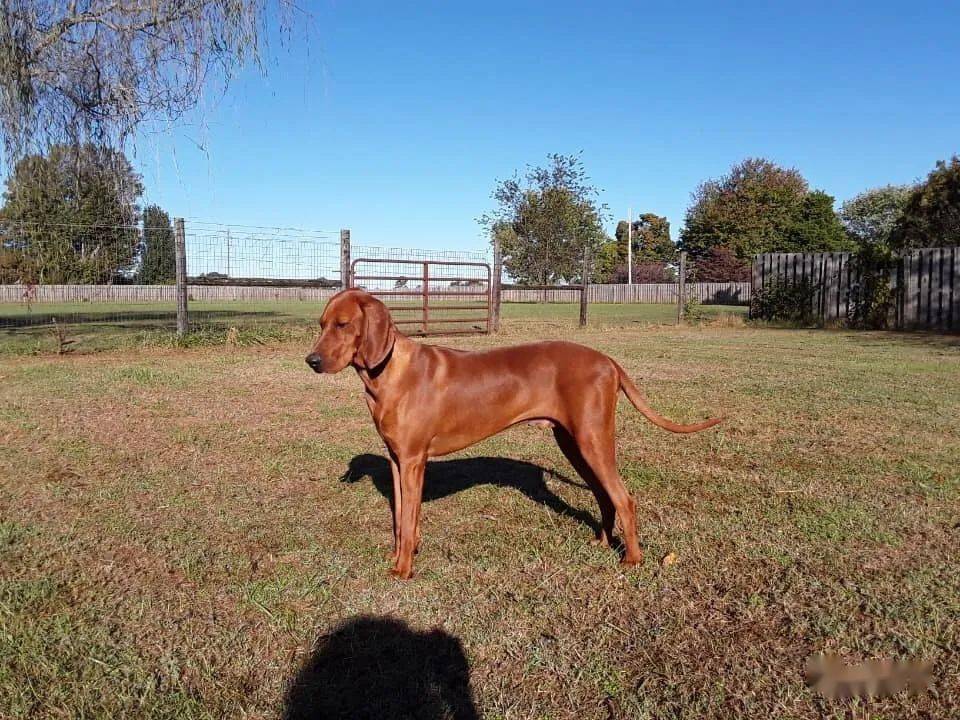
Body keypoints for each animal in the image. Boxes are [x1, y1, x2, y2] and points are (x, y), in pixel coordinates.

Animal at [308, 290, 720, 576]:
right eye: (321, 324)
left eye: (343, 325)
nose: (311, 361)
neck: (388, 371)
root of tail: (607, 360)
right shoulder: (397, 461)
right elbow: (400, 520)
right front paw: (399, 557)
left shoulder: (412, 461)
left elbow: (407, 522)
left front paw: (403, 569)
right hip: (573, 443)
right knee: (605, 495)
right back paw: (602, 541)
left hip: (592, 440)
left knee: (624, 497)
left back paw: (632, 560)